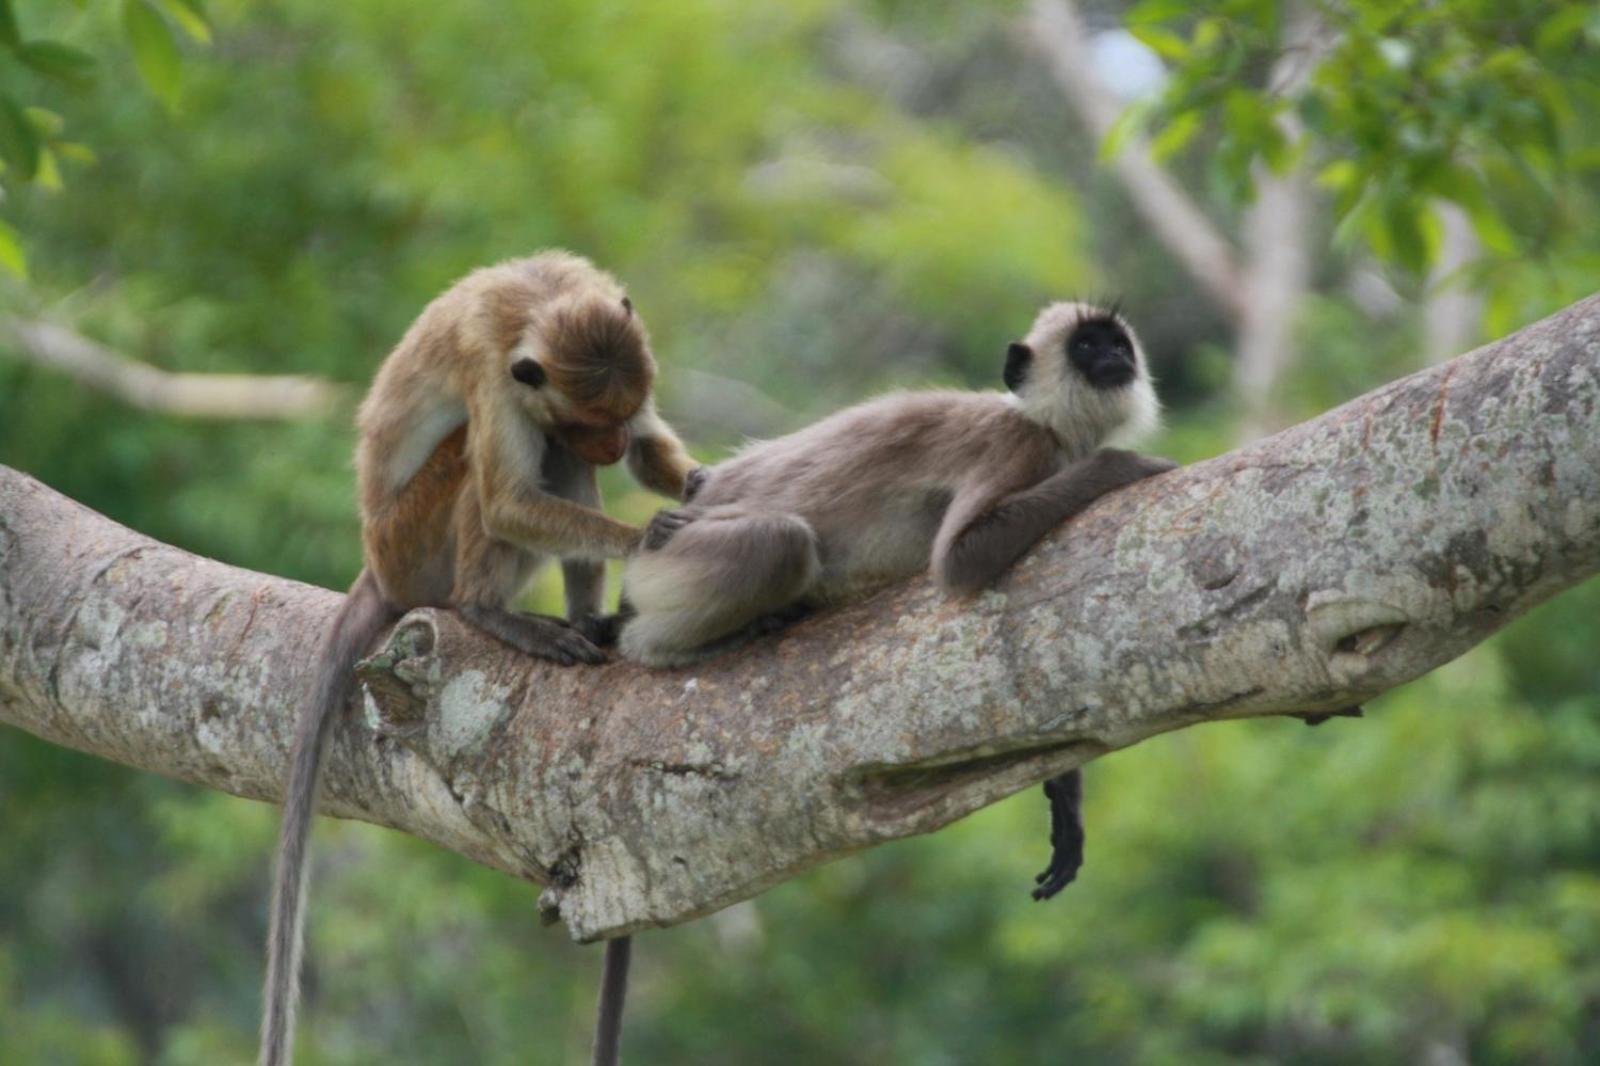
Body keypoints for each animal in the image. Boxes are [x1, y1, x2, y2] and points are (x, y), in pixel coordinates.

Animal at [262, 251, 694, 1062]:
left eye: (620, 418)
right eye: (591, 420)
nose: (610, 445)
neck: (541, 298)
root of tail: (377, 563)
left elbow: (654, 452)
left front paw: (695, 483)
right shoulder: (495, 376)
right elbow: (507, 501)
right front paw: (648, 535)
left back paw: (589, 619)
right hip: (415, 542)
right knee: (490, 469)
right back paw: (488, 612)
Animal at [611, 302, 1177, 902]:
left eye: (1116, 343)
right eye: (1087, 347)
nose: (1114, 357)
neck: (1048, 424)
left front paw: (1065, 800)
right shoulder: (1016, 445)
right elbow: (957, 562)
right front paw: (1124, 466)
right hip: (671, 556)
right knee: (779, 541)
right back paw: (661, 646)